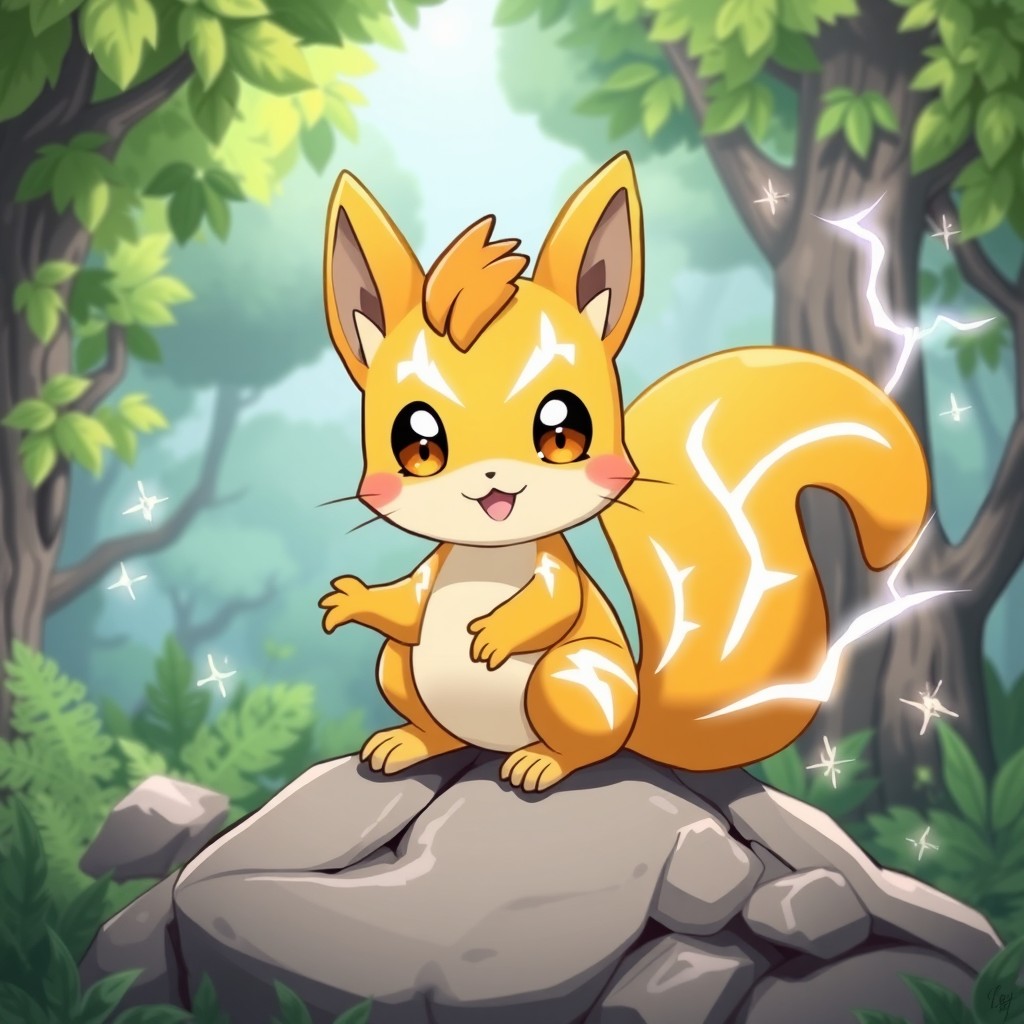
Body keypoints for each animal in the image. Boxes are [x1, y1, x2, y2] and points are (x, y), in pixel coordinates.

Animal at [318, 152, 929, 793]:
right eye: (417, 443)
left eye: (562, 431)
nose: (491, 480)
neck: (489, 552)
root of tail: (635, 719)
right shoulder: (430, 574)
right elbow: (405, 605)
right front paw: (352, 601)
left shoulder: (558, 571)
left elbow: (556, 604)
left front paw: (495, 632)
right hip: (398, 667)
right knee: (423, 698)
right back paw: (407, 743)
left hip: (571, 677)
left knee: (586, 748)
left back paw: (540, 762)